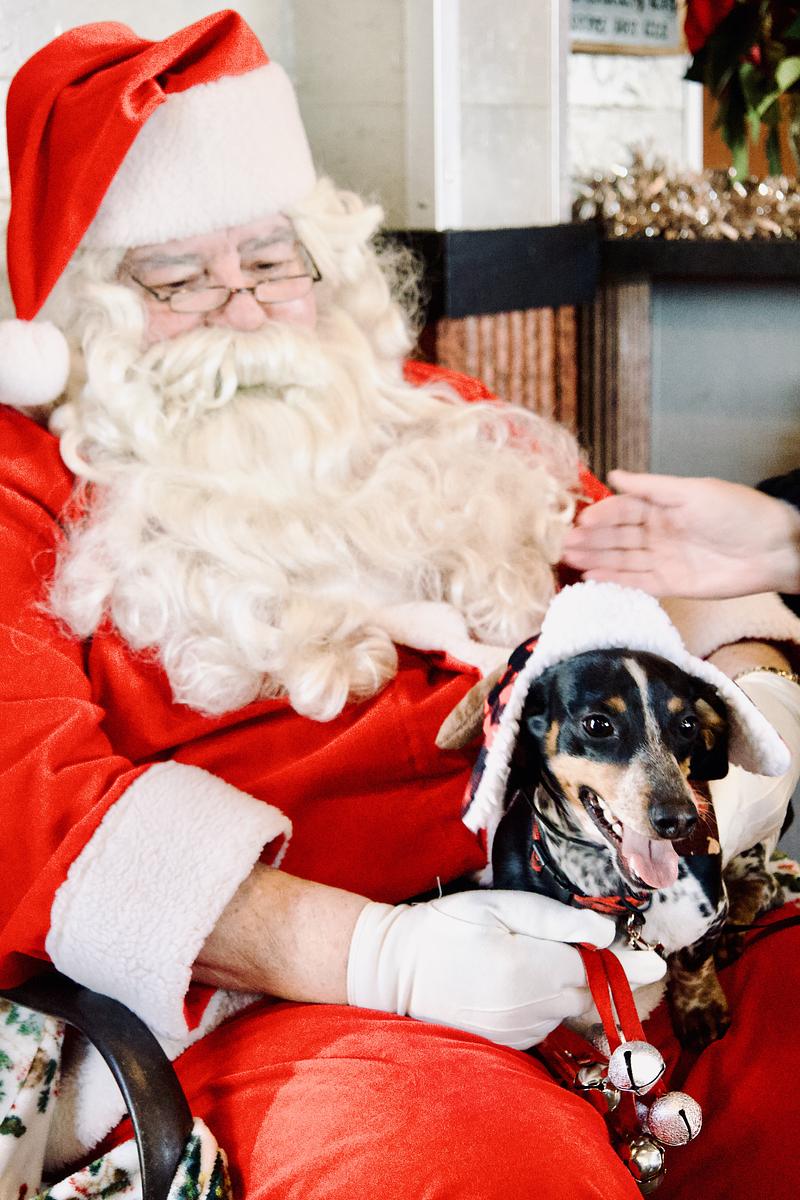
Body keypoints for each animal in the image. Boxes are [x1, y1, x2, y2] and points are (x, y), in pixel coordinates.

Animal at [488, 647, 781, 1050]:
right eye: (597, 725)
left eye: (687, 725)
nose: (681, 820)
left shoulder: (710, 913)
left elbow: (693, 962)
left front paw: (699, 1008)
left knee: (765, 882)